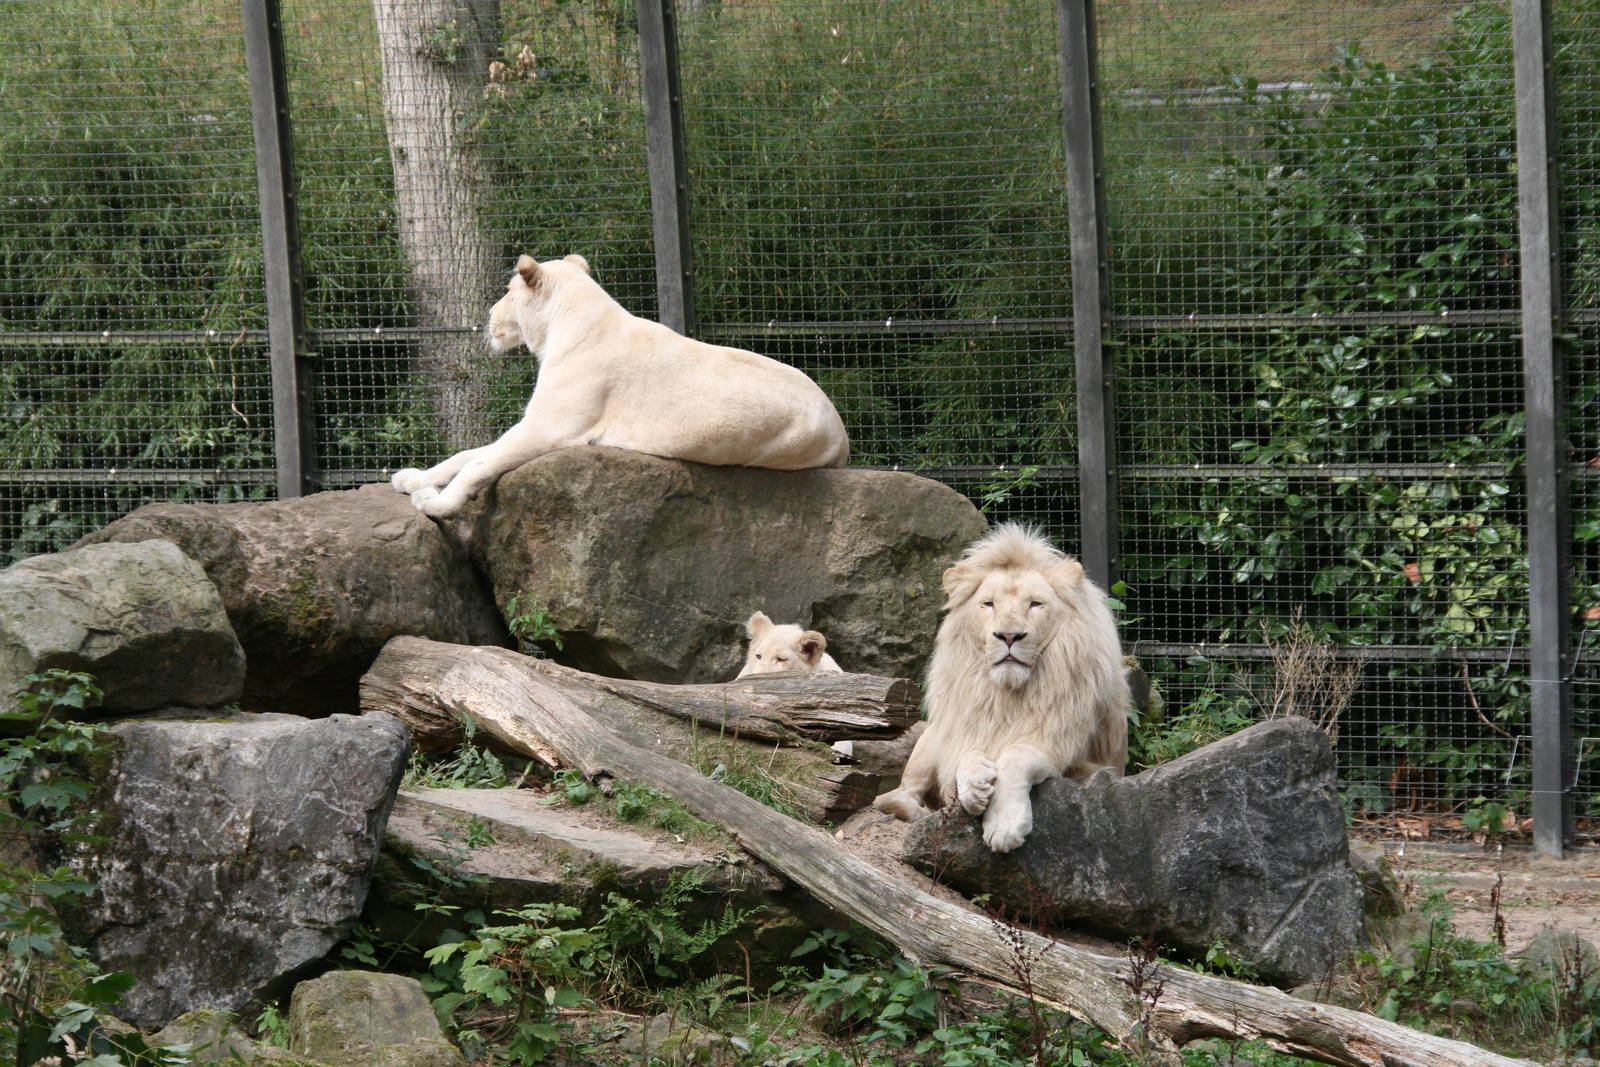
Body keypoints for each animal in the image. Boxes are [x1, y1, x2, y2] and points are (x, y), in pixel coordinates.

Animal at [390, 254, 850, 517]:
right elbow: (469, 453)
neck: (566, 323)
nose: (489, 315)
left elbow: (480, 464)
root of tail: (841, 431)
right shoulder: (537, 422)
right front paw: (412, 479)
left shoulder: (551, 429)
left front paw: (435, 503)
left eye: (507, 291)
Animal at [872, 524, 1129, 853]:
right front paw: (973, 786)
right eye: (989, 604)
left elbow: (1015, 755)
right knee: (893, 796)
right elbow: (965, 755)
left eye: (1035, 604)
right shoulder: (966, 730)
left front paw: (1005, 827)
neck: (1007, 694)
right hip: (929, 741)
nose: (1008, 636)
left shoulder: (1069, 753)